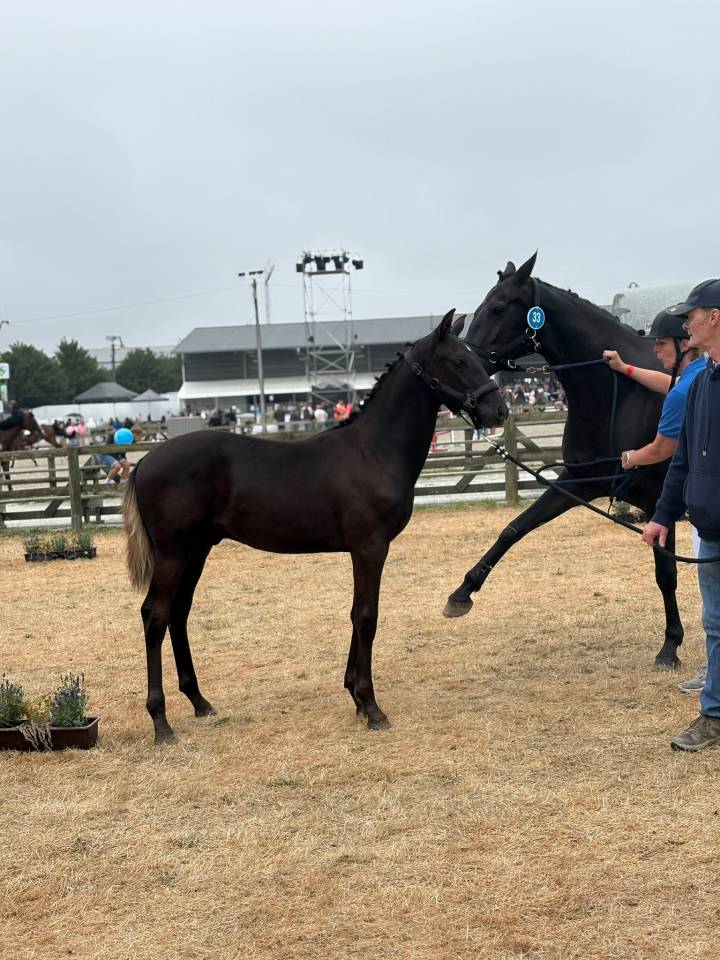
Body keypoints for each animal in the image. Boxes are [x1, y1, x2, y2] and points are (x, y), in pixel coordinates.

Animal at [123, 311, 508, 744]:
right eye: (458, 360)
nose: (499, 411)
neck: (374, 451)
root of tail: (144, 462)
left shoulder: (364, 549)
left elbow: (356, 614)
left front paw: (354, 695)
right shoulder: (370, 547)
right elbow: (366, 615)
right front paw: (371, 706)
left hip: (198, 549)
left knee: (179, 612)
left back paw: (200, 702)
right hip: (173, 552)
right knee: (155, 615)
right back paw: (161, 722)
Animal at [444, 252, 685, 670]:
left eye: (498, 307)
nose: (470, 362)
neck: (620, 396)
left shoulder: (659, 500)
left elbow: (666, 571)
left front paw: (670, 645)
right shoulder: (577, 482)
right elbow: (514, 528)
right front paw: (463, 592)